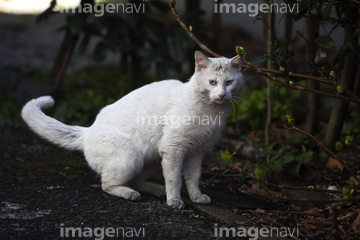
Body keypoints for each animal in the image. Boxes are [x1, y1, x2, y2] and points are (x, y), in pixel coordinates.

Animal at [20, 51, 245, 209]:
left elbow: (192, 178)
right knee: (107, 184)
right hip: (130, 158)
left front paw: (196, 196)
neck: (211, 114)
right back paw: (132, 194)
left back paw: (156, 190)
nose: (222, 94)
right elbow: (175, 179)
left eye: (229, 82)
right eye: (212, 82)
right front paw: (174, 201)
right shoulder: (173, 149)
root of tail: (88, 131)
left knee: (136, 181)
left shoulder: (197, 153)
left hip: (151, 160)